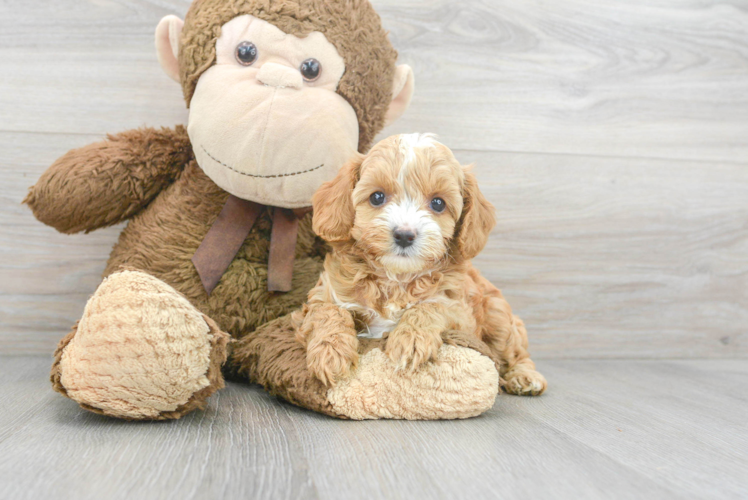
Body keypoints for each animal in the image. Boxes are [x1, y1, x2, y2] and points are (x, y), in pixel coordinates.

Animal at [296, 135, 548, 396]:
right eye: (377, 197)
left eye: (438, 203)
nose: (404, 235)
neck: (396, 278)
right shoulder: (324, 295)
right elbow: (329, 311)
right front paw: (329, 352)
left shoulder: (460, 312)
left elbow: (431, 306)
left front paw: (411, 339)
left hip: (498, 317)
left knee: (515, 351)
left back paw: (526, 377)